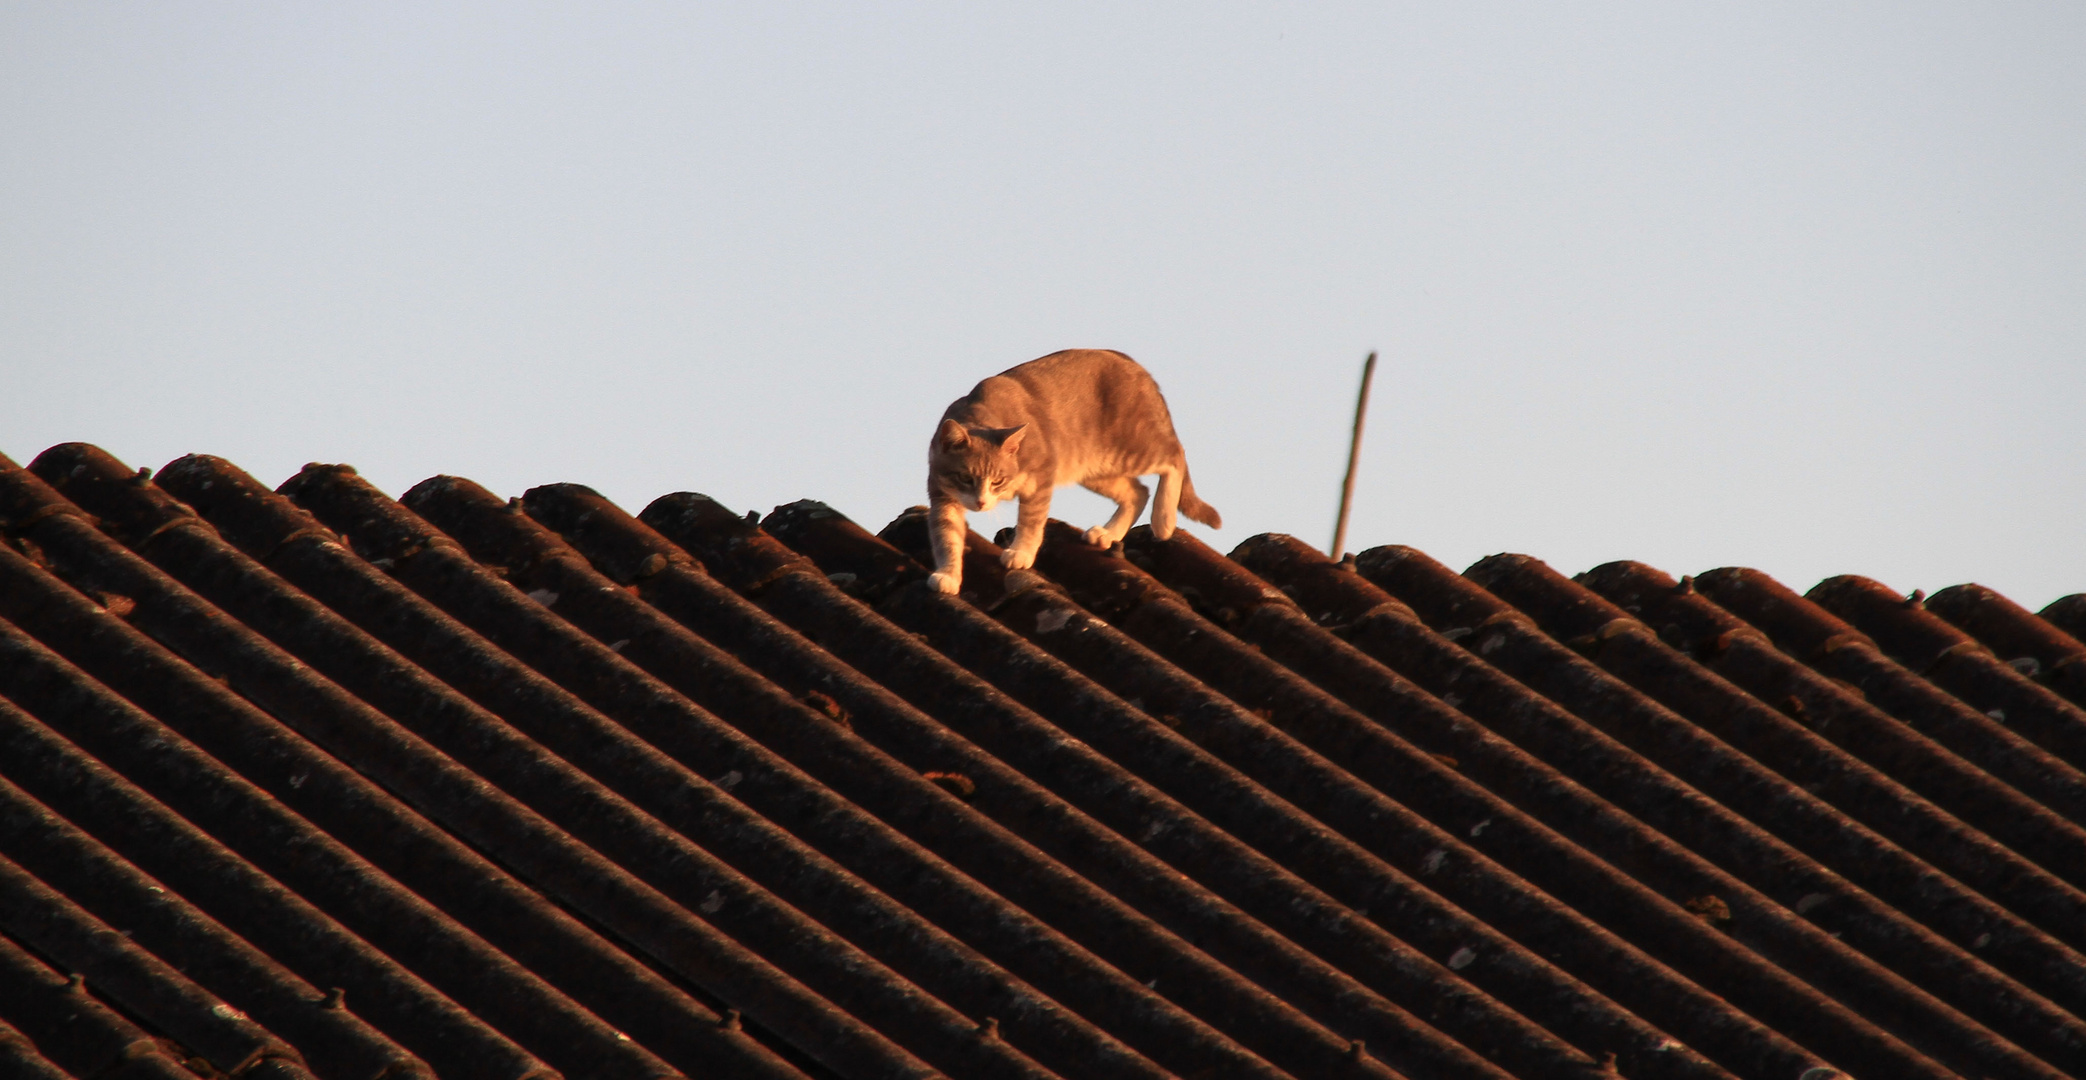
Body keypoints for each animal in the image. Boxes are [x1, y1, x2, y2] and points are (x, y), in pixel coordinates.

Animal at [922, 350, 1218, 596]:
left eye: (998, 480)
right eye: (965, 478)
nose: (981, 502)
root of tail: (1130, 361)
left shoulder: (1041, 477)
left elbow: (1031, 521)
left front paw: (1020, 552)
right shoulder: (942, 495)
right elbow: (946, 536)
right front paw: (948, 575)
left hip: (1130, 448)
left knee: (1175, 455)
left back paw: (1164, 520)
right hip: (1095, 469)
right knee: (1138, 492)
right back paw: (1108, 533)